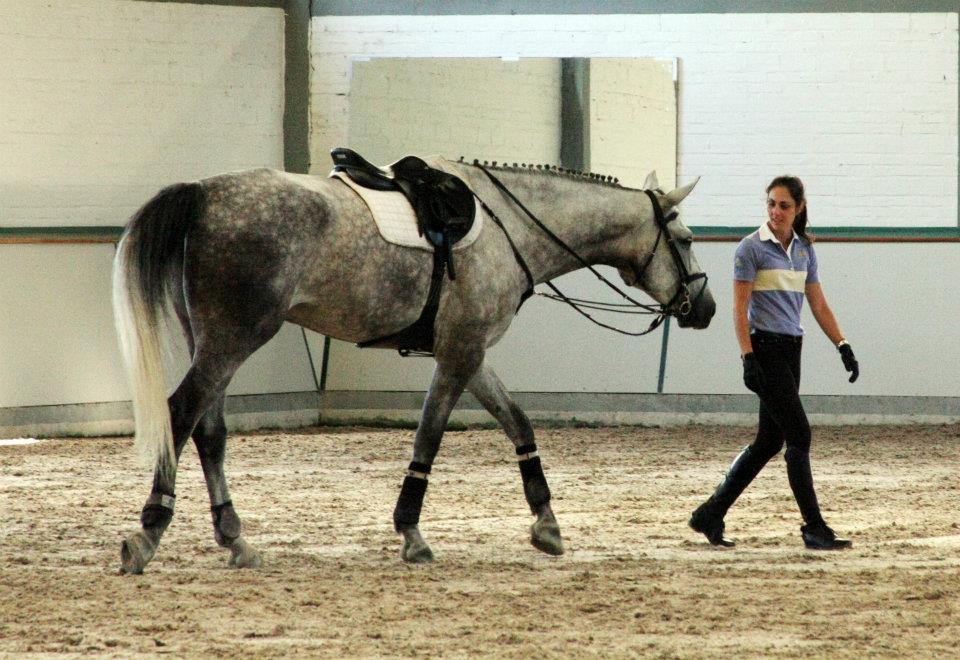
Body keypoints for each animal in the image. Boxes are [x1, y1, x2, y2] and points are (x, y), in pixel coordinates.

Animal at [112, 160, 712, 572]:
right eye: (684, 240)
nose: (703, 308)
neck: (510, 230)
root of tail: (202, 193)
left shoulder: (469, 353)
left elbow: (518, 423)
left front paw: (546, 523)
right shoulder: (462, 354)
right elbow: (429, 437)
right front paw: (411, 532)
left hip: (215, 342)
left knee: (209, 432)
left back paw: (235, 538)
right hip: (233, 340)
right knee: (181, 414)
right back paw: (149, 532)